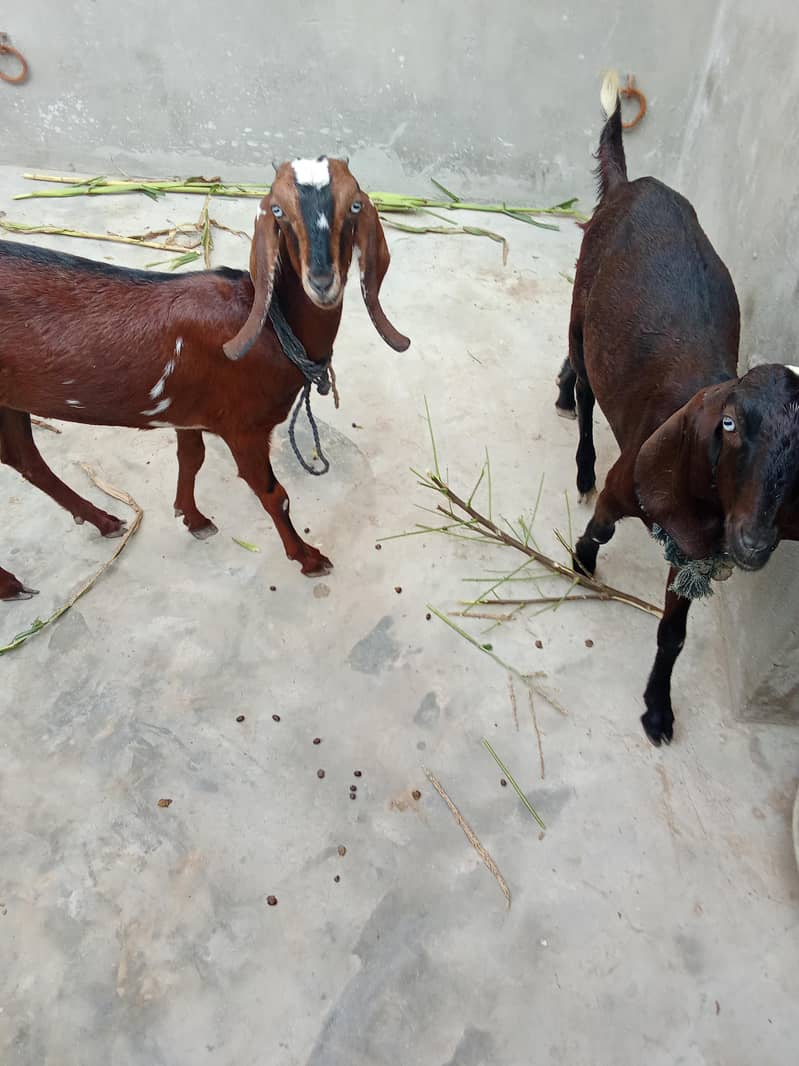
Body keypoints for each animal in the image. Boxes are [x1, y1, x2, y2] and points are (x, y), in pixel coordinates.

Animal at [0, 156, 409, 600]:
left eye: (354, 205)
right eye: (278, 210)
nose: (322, 282)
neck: (271, 325)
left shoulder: (191, 412)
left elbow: (191, 459)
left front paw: (192, 518)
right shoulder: (244, 427)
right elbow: (274, 495)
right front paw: (309, 559)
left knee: (27, 461)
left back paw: (104, 521)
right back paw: (11, 583)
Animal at [559, 73, 799, 746]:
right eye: (729, 424)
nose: (753, 543)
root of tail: (633, 184)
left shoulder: (693, 547)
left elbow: (674, 632)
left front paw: (658, 708)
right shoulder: (635, 480)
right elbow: (603, 526)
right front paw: (583, 560)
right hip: (582, 302)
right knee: (586, 385)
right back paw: (579, 447)